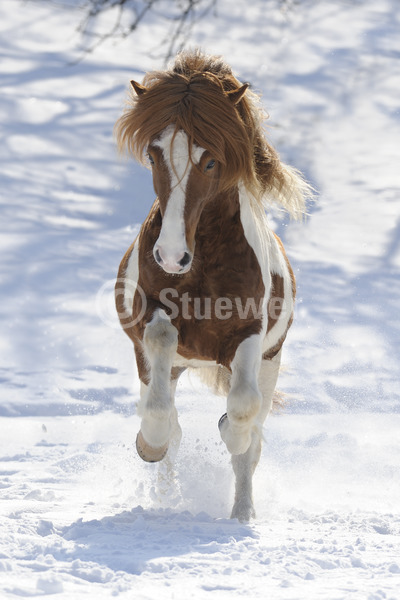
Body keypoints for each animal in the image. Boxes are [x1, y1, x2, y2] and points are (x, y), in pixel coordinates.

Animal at [114, 50, 310, 520]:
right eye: (153, 155)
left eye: (210, 160)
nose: (170, 256)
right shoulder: (149, 325)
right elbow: (161, 410)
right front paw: (149, 443)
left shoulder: (249, 335)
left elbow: (241, 417)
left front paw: (229, 431)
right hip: (163, 364)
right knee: (168, 422)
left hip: (271, 362)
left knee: (251, 440)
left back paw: (242, 514)